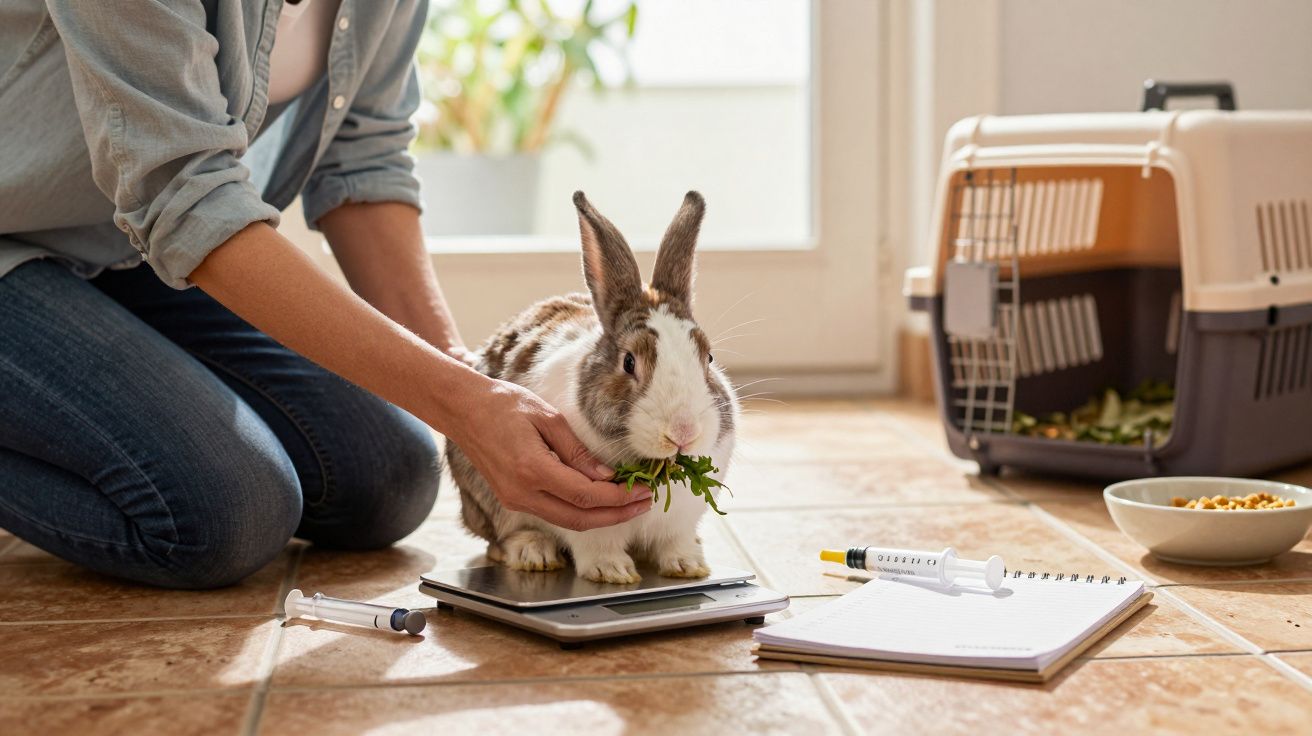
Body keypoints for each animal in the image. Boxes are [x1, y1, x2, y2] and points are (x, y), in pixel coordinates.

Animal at [446, 191, 739, 585]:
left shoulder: (679, 520)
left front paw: (688, 566)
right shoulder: (588, 523)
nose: (683, 432)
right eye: (629, 362)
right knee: (501, 536)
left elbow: (673, 542)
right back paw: (533, 552)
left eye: (708, 358)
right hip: (483, 492)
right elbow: (598, 546)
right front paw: (612, 572)